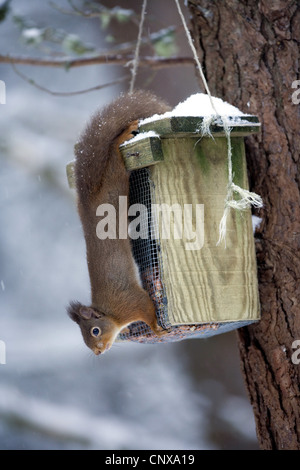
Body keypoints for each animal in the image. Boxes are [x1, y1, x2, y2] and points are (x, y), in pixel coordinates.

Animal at [68, 90, 171, 354]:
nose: (98, 352)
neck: (111, 314)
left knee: (115, 153)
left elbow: (147, 309)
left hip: (115, 178)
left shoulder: (130, 302)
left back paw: (125, 134)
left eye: (94, 331)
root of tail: (88, 198)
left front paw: (156, 329)